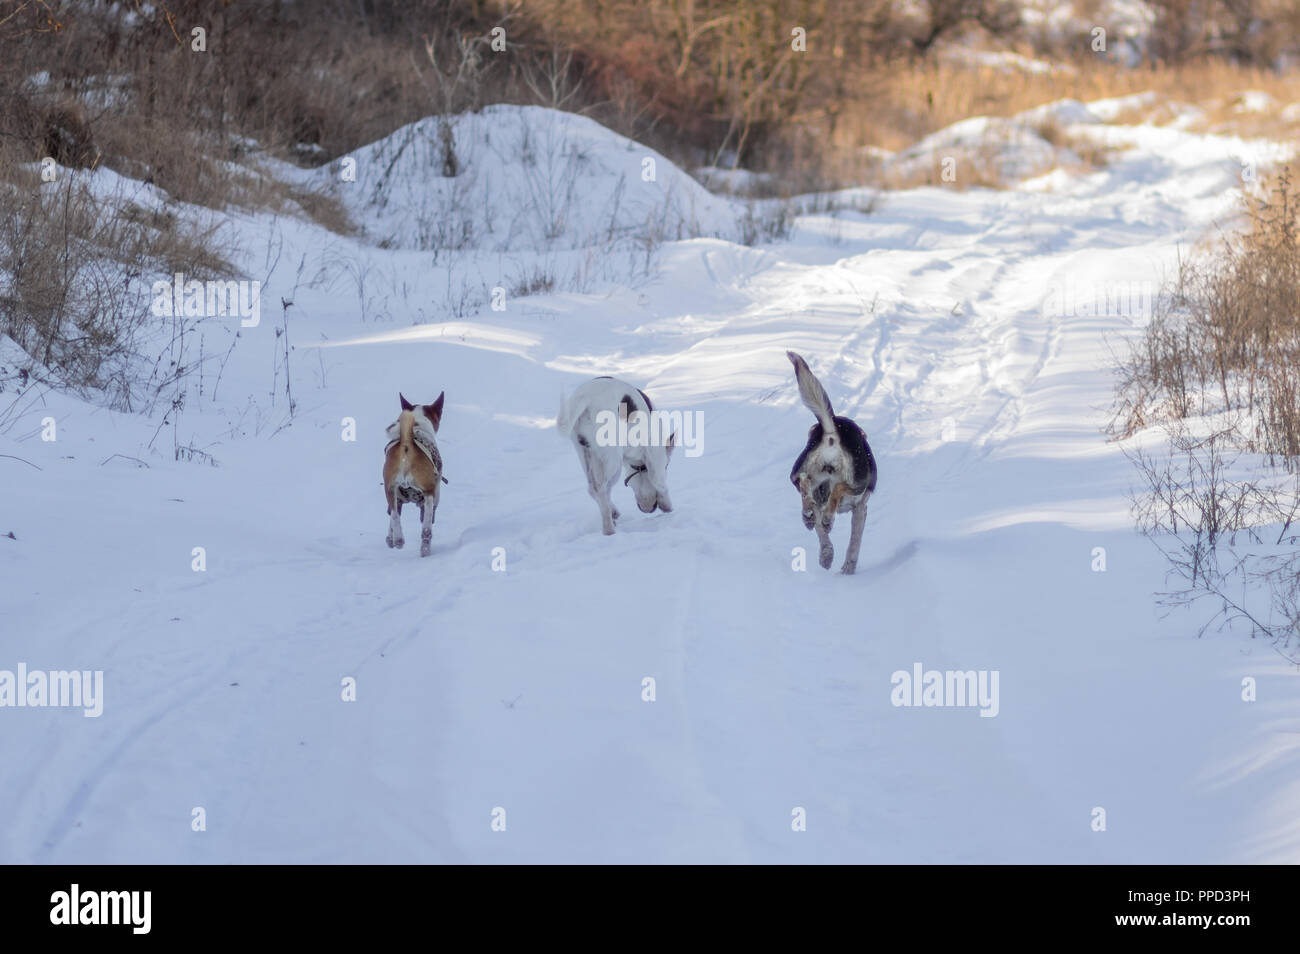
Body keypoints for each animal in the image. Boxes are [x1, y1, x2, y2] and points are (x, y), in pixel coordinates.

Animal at [382, 389, 444, 556]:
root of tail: (407, 443)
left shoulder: (397, 499)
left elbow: (392, 517)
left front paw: (390, 540)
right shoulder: (435, 496)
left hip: (390, 489)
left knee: (395, 516)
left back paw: (398, 540)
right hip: (429, 495)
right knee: (426, 530)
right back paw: (424, 549)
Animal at [556, 374, 676, 538]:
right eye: (667, 466)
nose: (649, 508)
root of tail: (585, 395)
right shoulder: (656, 459)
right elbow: (661, 485)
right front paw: (669, 509)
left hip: (585, 453)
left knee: (593, 488)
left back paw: (612, 515)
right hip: (613, 462)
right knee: (601, 489)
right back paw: (609, 529)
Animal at [785, 350, 878, 574]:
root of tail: (831, 431)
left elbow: (823, 537)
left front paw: (826, 556)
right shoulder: (861, 508)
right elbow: (854, 545)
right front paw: (847, 570)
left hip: (798, 472)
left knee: (804, 482)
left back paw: (808, 514)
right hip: (858, 483)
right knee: (839, 489)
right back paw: (825, 516)